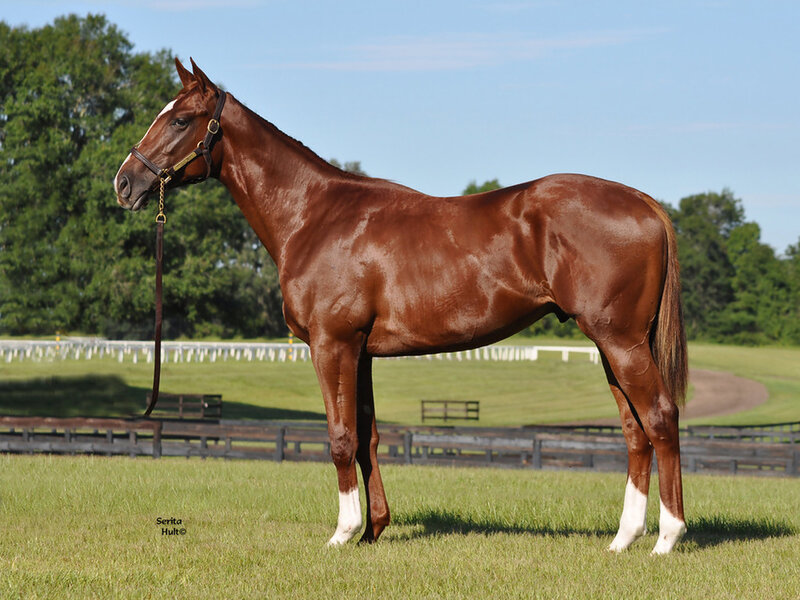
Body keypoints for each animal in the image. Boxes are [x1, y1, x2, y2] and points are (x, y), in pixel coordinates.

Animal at [115, 58, 688, 554]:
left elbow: (341, 436)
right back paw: (622, 539)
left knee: (660, 418)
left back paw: (666, 538)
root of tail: (644, 203)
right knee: (635, 432)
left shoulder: (332, 345)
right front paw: (373, 530)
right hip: (611, 346)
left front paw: (343, 533)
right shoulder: (361, 352)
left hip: (620, 340)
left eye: (181, 119)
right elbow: (367, 436)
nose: (125, 182)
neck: (314, 216)